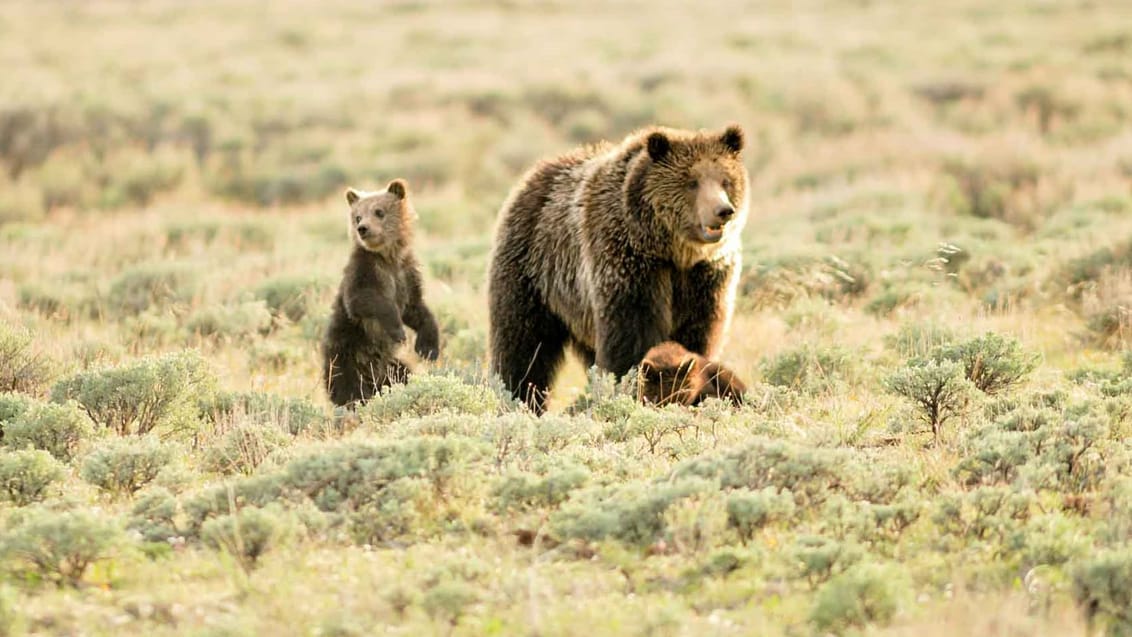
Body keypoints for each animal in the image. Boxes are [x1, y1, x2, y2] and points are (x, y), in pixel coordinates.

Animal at [484, 124, 742, 414]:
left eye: (725, 180)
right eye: (691, 181)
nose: (723, 210)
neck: (672, 253)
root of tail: (531, 176)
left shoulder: (706, 278)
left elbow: (699, 333)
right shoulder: (627, 264)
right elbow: (631, 336)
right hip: (533, 269)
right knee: (523, 341)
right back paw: (518, 396)